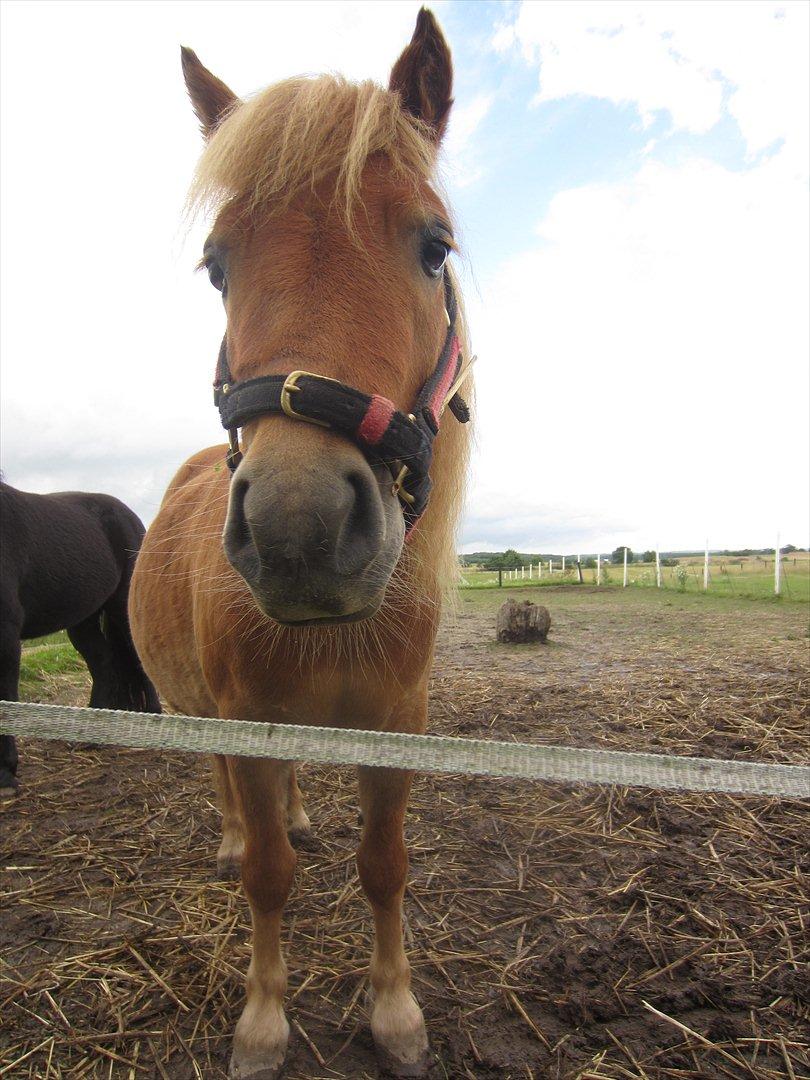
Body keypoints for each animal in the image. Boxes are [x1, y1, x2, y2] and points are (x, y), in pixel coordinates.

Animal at [0, 481, 162, 794]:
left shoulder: (7, 635)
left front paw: (4, 774)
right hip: (83, 620)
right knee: (104, 663)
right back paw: (92, 734)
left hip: (122, 607)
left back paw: (152, 719)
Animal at [129, 10, 473, 1080]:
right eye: (218, 265)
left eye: (434, 248)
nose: (299, 530)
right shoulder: (243, 718)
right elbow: (270, 881)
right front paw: (264, 1019)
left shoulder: (394, 725)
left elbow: (384, 866)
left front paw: (395, 1010)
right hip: (199, 711)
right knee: (232, 798)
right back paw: (239, 835)